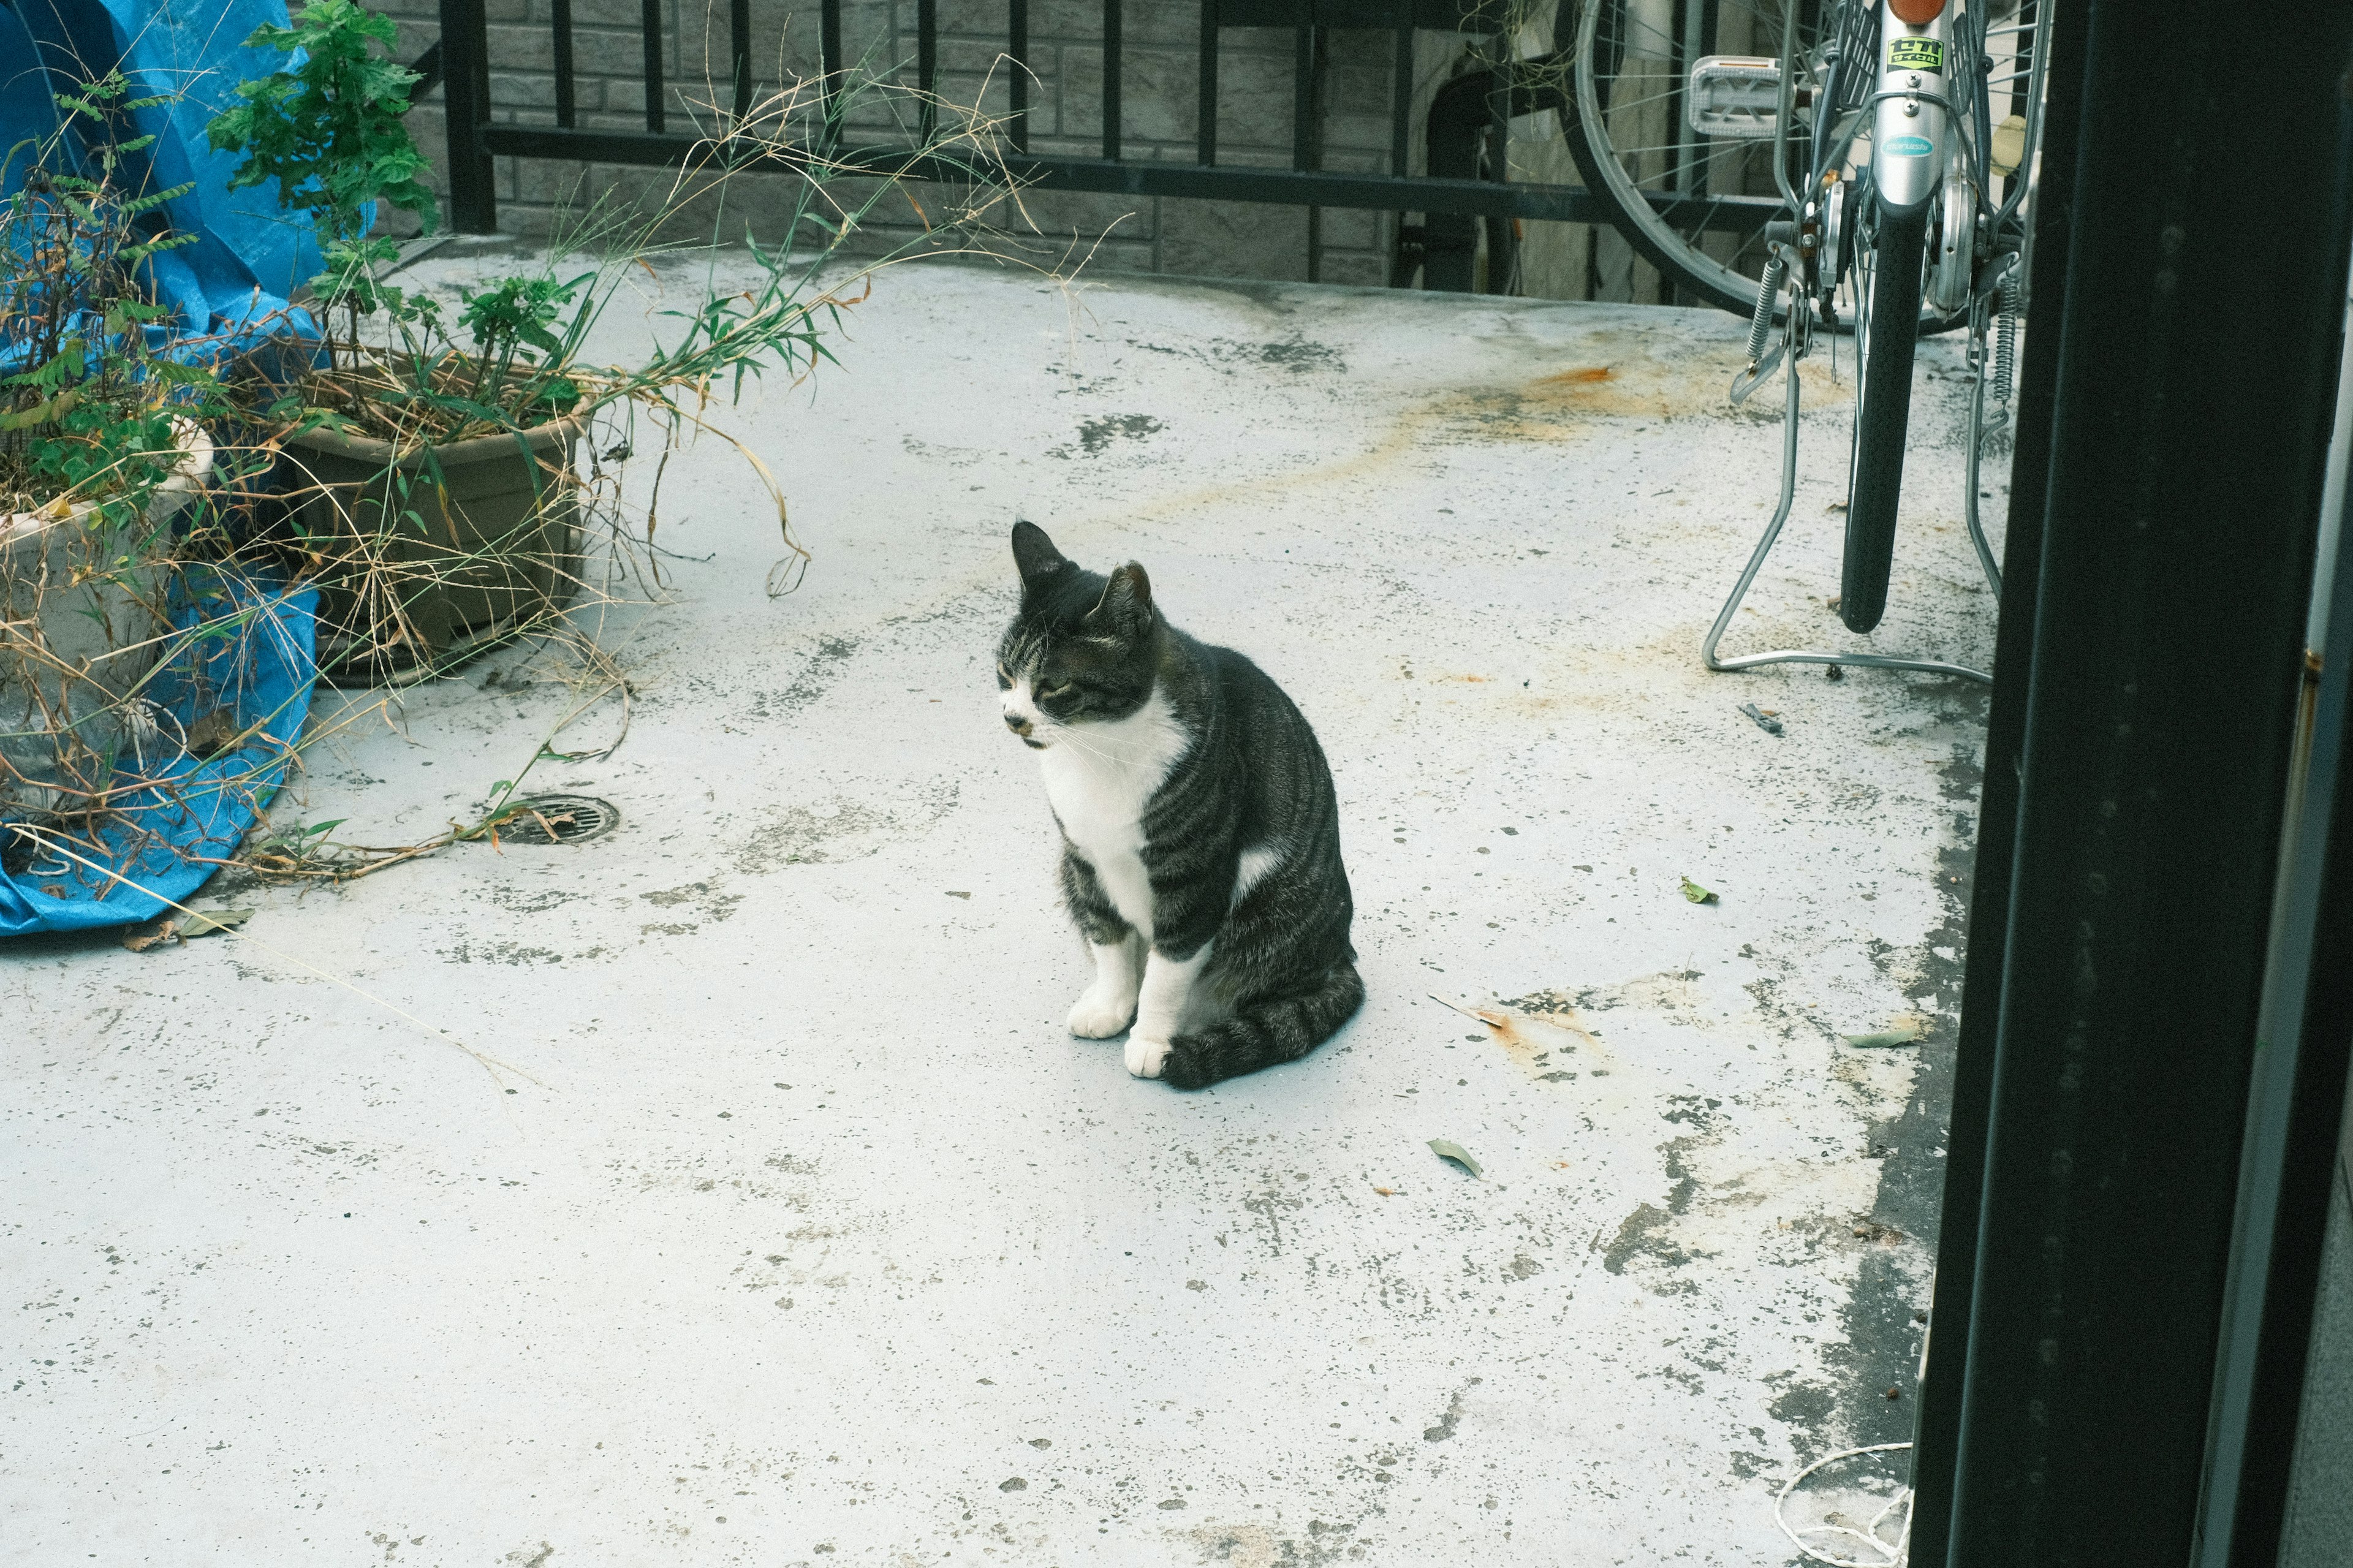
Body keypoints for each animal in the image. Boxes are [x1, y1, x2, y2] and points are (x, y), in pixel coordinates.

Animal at [993, 518, 1365, 1083]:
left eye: (1053, 685)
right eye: (1004, 673)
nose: (1013, 717)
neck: (1099, 748)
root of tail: (1343, 956)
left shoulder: (1195, 877)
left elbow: (1168, 973)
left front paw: (1150, 1039)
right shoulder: (1085, 861)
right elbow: (1109, 941)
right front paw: (1111, 1007)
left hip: (1268, 911)